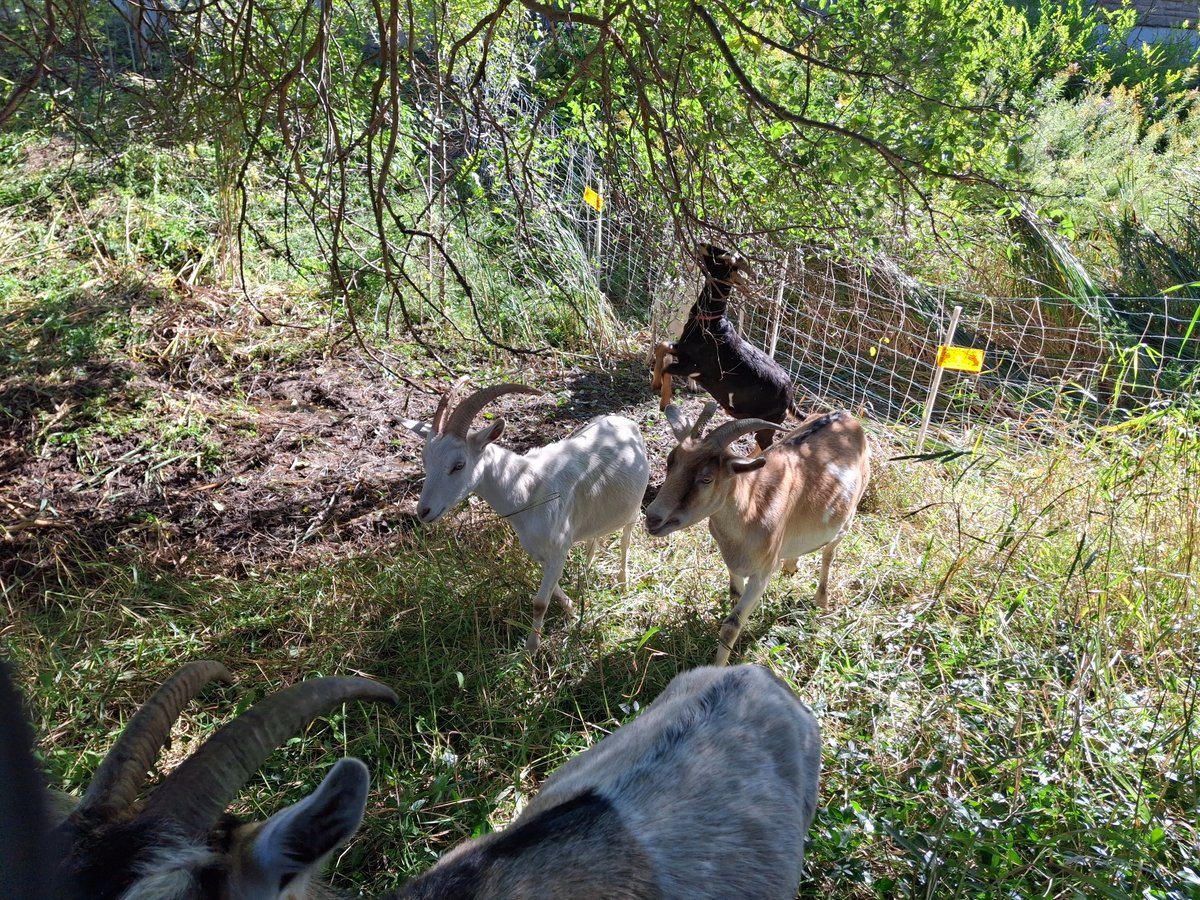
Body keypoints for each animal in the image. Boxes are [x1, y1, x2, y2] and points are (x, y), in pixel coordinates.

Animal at [402, 379, 650, 653]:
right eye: (425, 460)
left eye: (459, 465)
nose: (423, 511)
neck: (528, 486)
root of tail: (624, 421)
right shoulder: (540, 551)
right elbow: (553, 590)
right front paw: (572, 609)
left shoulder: (558, 549)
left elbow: (540, 603)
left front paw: (531, 649)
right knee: (593, 540)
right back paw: (585, 575)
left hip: (633, 509)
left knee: (626, 540)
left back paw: (623, 583)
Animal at [645, 402, 870, 665]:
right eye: (670, 462)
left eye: (707, 478)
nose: (653, 518)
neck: (752, 504)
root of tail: (846, 416)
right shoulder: (733, 561)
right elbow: (734, 595)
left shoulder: (762, 572)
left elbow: (731, 624)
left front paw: (719, 665)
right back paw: (791, 565)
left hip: (848, 517)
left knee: (829, 553)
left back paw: (821, 600)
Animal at [651, 244, 803, 451]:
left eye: (724, 260)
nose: (702, 245)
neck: (711, 324)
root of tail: (791, 397)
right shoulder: (682, 351)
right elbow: (662, 346)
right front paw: (655, 383)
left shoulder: (694, 367)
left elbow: (667, 367)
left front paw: (664, 401)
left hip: (769, 421)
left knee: (766, 443)